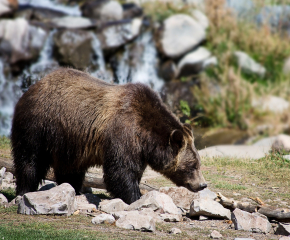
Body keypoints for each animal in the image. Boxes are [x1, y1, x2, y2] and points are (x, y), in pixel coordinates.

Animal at [11, 67, 206, 204]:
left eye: (198, 163)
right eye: (193, 165)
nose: (202, 184)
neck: (146, 137)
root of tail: (33, 86)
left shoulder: (139, 150)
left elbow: (131, 171)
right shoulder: (123, 132)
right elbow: (120, 171)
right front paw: (135, 197)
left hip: (68, 141)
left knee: (70, 169)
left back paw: (73, 188)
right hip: (39, 124)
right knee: (30, 159)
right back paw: (24, 190)